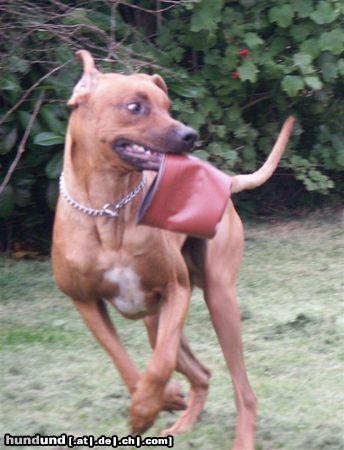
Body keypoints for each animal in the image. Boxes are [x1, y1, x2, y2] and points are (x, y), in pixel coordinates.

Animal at [52, 50, 294, 450]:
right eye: (135, 106)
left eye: (168, 106)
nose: (189, 135)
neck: (109, 209)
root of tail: (226, 180)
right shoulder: (85, 302)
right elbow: (125, 363)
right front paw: (156, 403)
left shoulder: (176, 291)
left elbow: (159, 364)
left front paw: (145, 408)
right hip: (155, 319)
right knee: (202, 373)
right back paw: (181, 418)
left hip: (219, 299)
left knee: (242, 389)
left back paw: (238, 435)